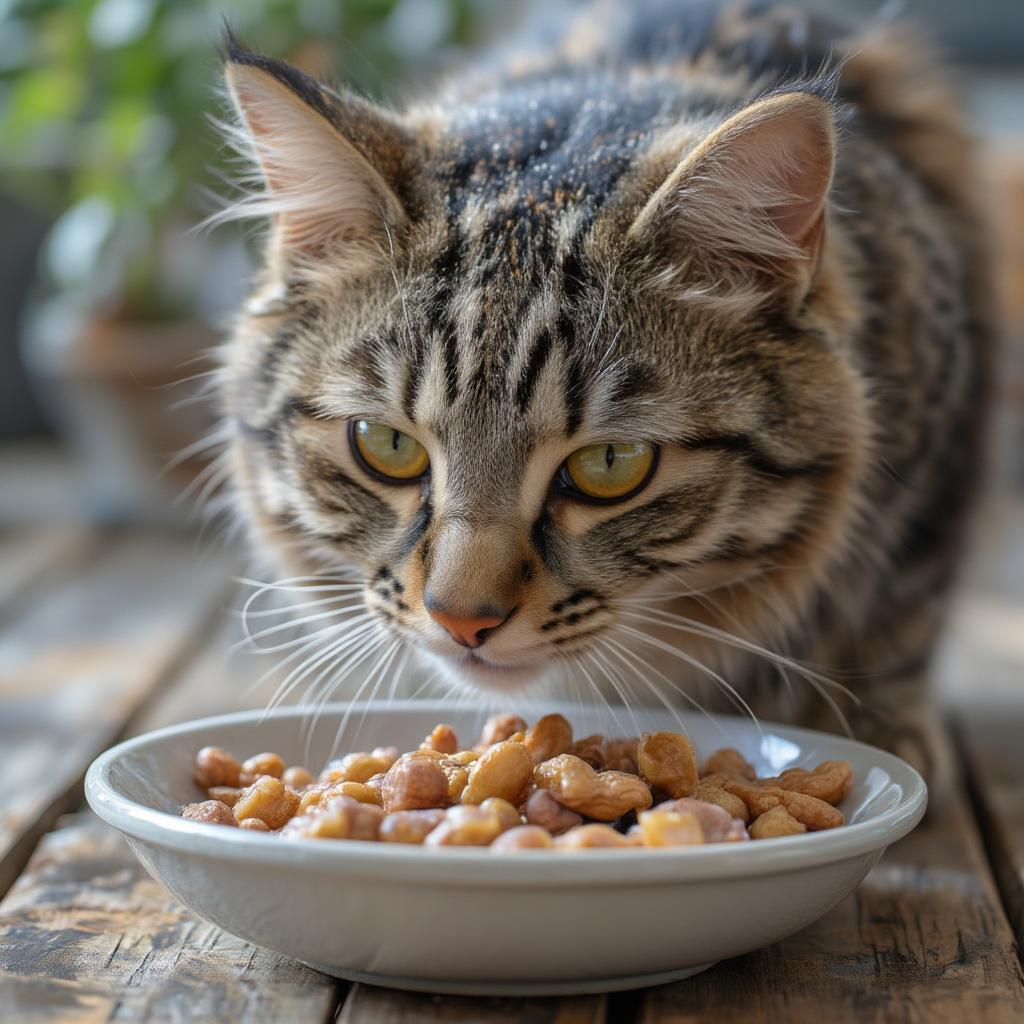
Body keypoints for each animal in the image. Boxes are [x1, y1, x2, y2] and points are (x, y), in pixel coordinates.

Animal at [214, 0, 991, 774]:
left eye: (611, 465)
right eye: (385, 445)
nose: (462, 620)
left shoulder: (939, 470)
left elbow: (898, 624)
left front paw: (882, 733)